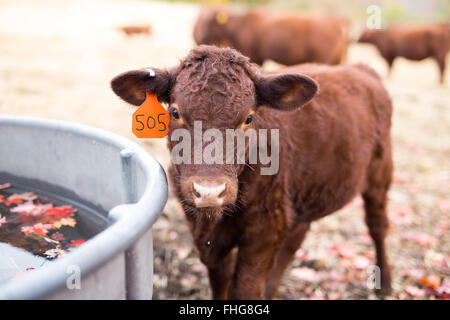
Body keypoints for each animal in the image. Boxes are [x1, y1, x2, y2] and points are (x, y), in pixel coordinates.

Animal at [111, 45, 394, 300]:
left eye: (248, 118)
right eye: (175, 112)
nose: (210, 192)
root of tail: (362, 69)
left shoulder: (264, 230)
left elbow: (245, 288)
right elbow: (221, 283)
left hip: (380, 173)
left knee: (377, 225)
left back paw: (386, 284)